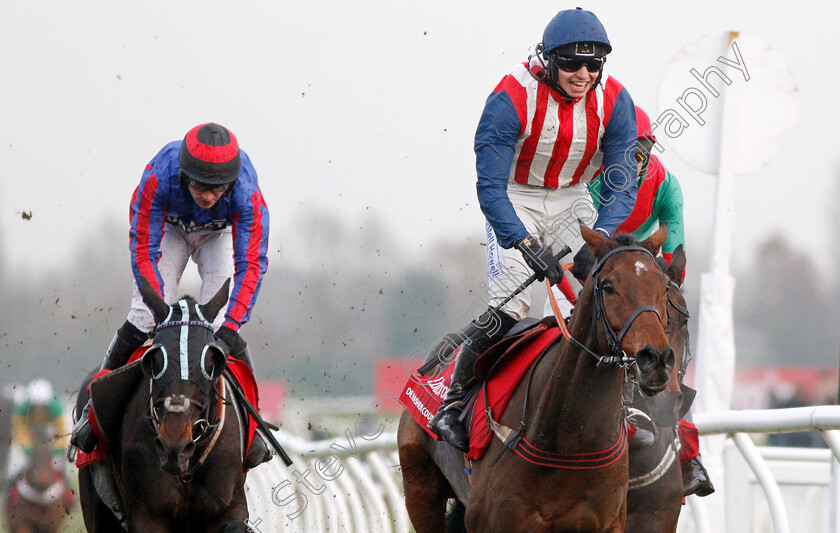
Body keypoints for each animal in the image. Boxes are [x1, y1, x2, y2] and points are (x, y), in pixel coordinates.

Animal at [400, 225, 676, 532]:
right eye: (608, 286)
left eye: (665, 286)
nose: (656, 359)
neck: (568, 441)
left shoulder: (609, 522)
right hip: (419, 487)